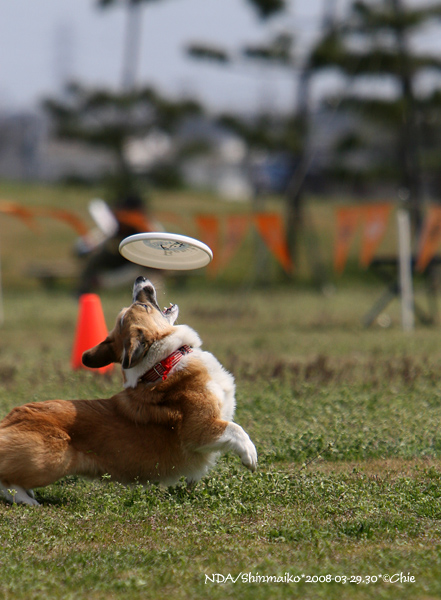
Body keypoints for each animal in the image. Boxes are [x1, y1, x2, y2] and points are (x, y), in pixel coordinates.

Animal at [0, 278, 258, 506]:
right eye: (144, 306)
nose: (140, 278)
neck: (164, 362)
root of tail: (8, 421)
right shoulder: (200, 429)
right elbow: (236, 429)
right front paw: (250, 456)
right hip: (54, 458)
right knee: (6, 481)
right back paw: (25, 499)